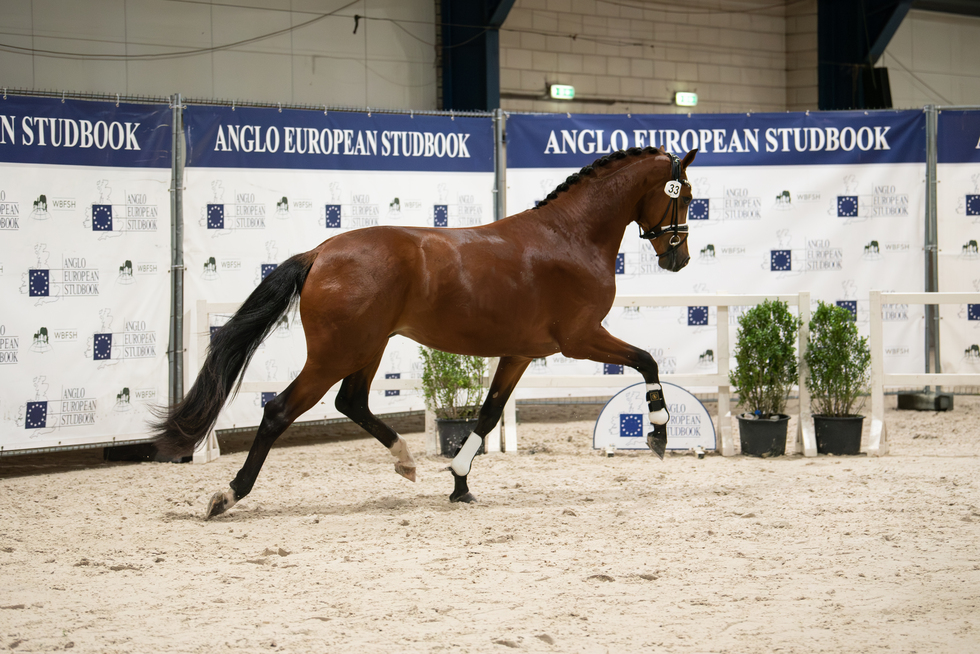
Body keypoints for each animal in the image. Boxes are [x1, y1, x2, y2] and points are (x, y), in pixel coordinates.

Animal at [152, 145, 698, 519]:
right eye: (687, 196)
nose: (680, 260)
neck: (570, 236)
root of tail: (319, 253)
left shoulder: (520, 352)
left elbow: (488, 414)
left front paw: (459, 482)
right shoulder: (581, 338)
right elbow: (647, 360)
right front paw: (658, 432)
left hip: (367, 348)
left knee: (351, 402)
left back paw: (405, 459)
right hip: (336, 354)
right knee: (279, 410)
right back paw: (229, 494)